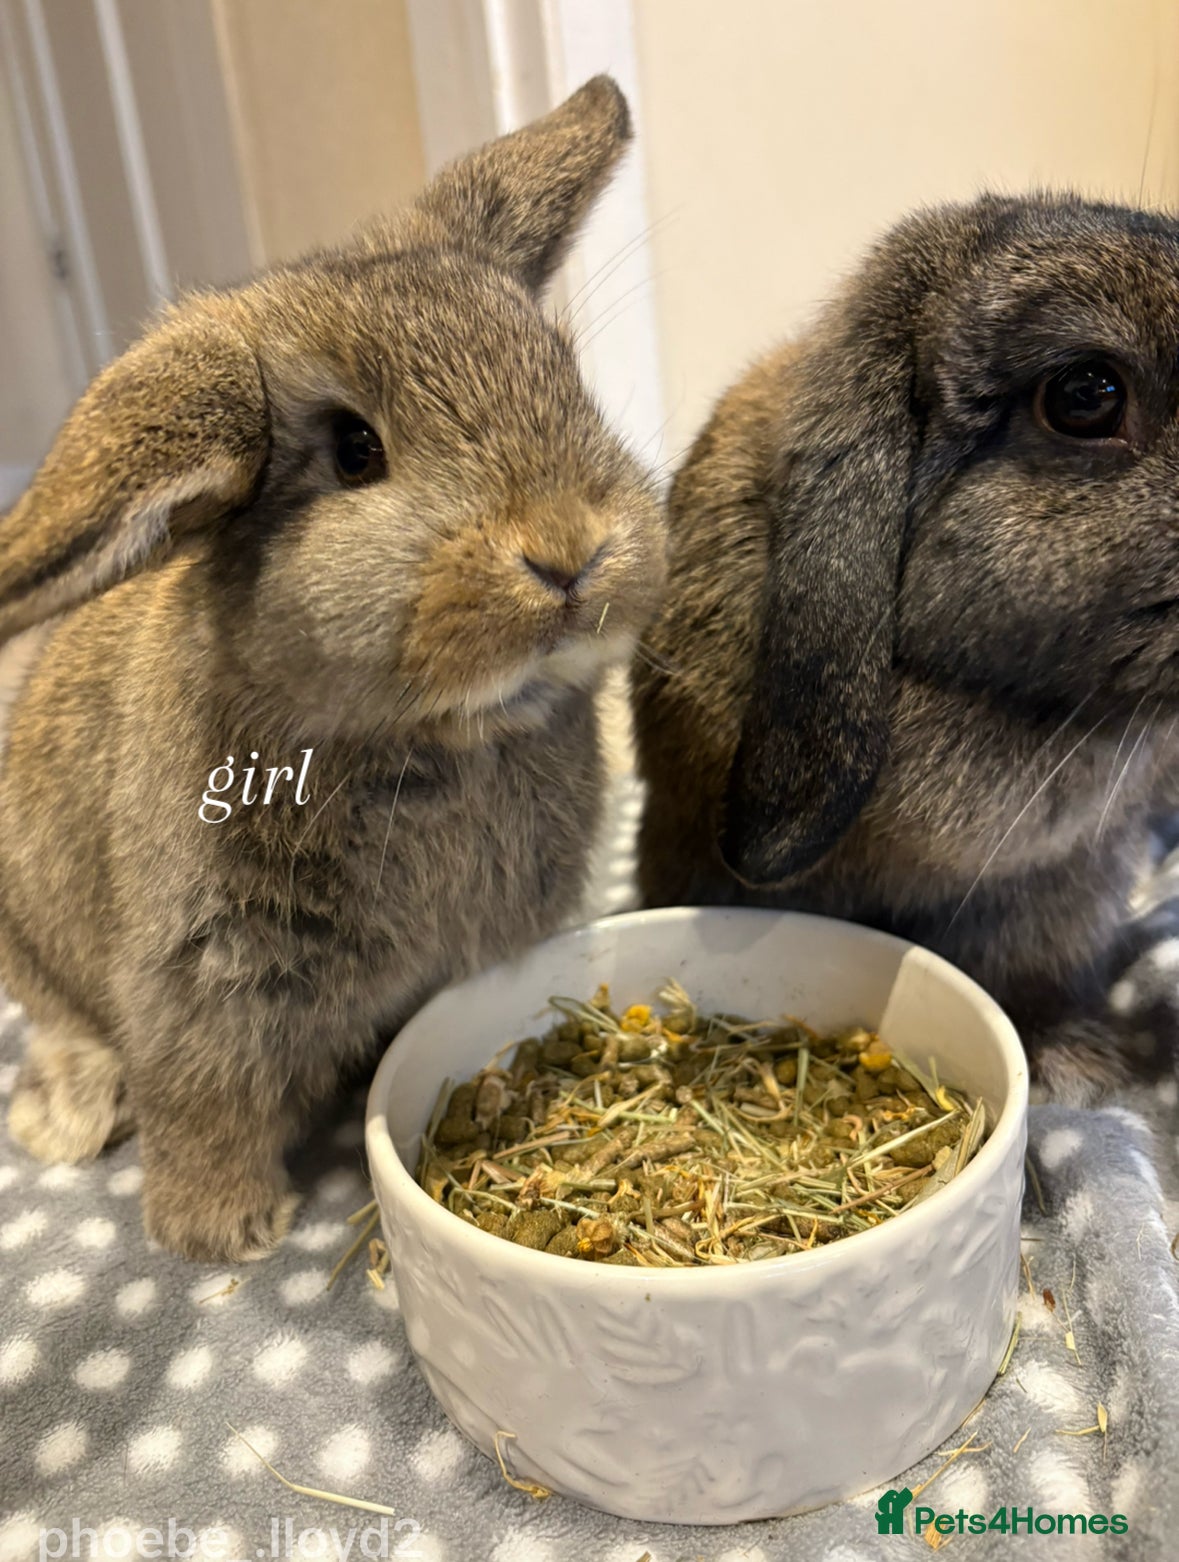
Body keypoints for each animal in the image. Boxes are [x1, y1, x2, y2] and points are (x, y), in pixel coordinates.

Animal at [0, 76, 665, 1261]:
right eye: (356, 451)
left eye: (562, 377)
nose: (570, 551)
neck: (432, 742)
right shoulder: (200, 983)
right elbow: (203, 1103)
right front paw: (223, 1233)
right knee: (72, 1030)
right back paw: (67, 1119)